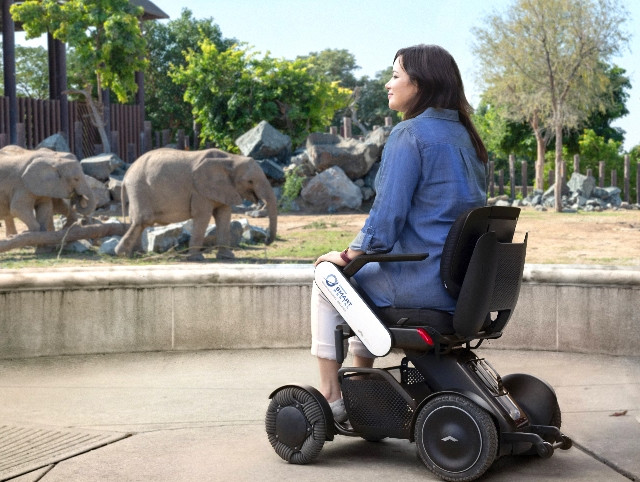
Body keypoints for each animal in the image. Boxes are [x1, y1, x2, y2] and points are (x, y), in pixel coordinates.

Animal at [115, 148, 278, 260]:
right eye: (250, 181)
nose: (266, 241)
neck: (231, 159)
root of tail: (127, 173)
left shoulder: (224, 189)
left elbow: (224, 215)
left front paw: (227, 257)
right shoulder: (199, 191)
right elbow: (203, 216)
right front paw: (197, 259)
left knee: (137, 222)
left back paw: (136, 254)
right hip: (139, 187)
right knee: (143, 220)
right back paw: (122, 254)